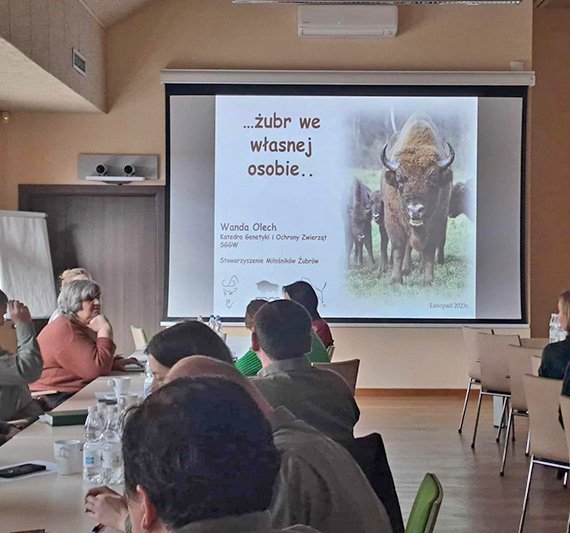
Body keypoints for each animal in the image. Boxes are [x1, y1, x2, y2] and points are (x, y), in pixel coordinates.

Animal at [380, 114, 454, 284]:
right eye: (400, 180)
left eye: (432, 180)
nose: (415, 210)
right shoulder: (392, 219)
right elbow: (399, 248)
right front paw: (395, 280)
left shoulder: (438, 221)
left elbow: (429, 251)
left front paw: (428, 281)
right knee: (407, 245)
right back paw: (406, 269)